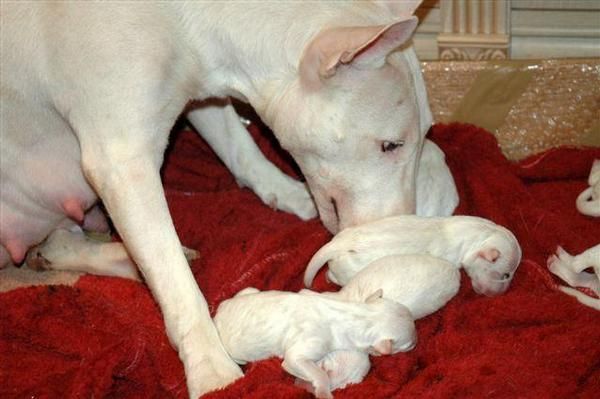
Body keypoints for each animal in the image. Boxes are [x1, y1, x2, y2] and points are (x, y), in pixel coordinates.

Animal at [213, 286, 414, 398]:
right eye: (410, 345)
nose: (417, 341)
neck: (355, 314)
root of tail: (217, 317)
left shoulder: (310, 293)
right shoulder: (303, 351)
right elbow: (317, 373)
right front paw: (324, 392)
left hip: (249, 291)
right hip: (236, 356)